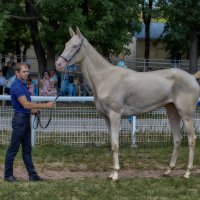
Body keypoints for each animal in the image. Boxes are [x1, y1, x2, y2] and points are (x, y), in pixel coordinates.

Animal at [55, 27, 200, 180]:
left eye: (75, 46)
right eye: (66, 44)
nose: (58, 64)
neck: (106, 78)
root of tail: (192, 77)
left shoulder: (115, 115)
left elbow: (115, 144)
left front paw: (116, 174)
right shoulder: (106, 118)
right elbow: (111, 143)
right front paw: (112, 173)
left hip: (186, 115)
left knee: (191, 139)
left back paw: (187, 172)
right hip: (172, 112)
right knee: (177, 139)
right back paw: (168, 170)